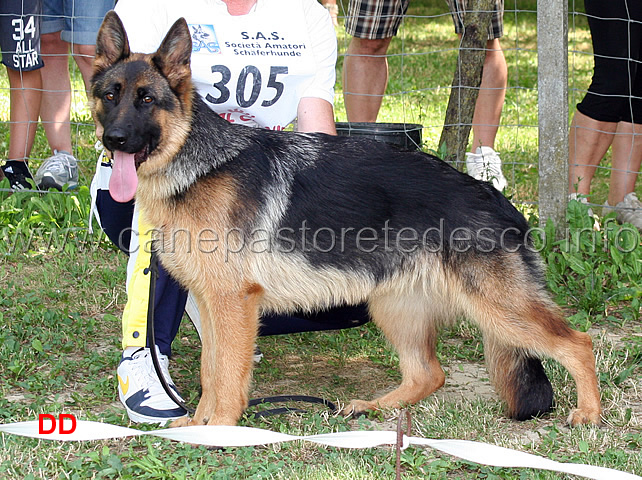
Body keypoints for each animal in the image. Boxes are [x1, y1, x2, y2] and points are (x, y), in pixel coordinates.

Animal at [91, 11, 600, 426]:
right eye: (111, 95)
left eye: (146, 100)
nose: (114, 140)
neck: (199, 163)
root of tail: (498, 199)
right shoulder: (214, 303)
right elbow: (211, 371)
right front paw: (197, 425)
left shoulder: (232, 303)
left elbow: (227, 378)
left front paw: (219, 430)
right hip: (394, 306)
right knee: (427, 373)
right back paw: (373, 407)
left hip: (497, 310)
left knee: (579, 343)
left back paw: (588, 414)